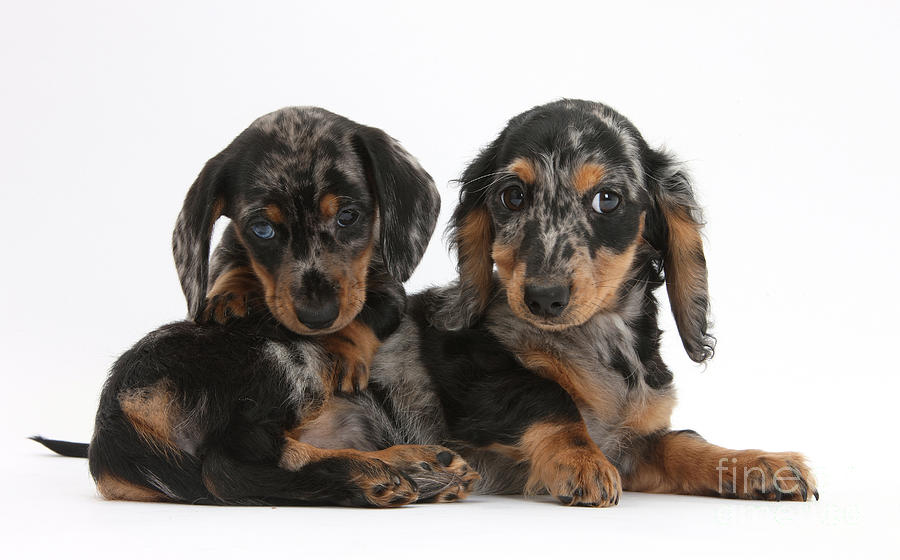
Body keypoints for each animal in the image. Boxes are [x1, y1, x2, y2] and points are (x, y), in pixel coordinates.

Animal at [34, 107, 478, 506]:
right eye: (262, 229)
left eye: (349, 217)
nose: (317, 317)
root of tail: (110, 427)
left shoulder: (384, 291)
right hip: (280, 366)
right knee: (231, 465)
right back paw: (387, 471)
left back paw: (420, 465)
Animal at [364, 99, 816, 508]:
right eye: (513, 196)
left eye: (607, 199)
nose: (544, 297)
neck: (599, 336)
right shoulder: (468, 366)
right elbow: (545, 395)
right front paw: (581, 459)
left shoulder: (635, 444)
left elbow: (684, 443)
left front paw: (757, 464)